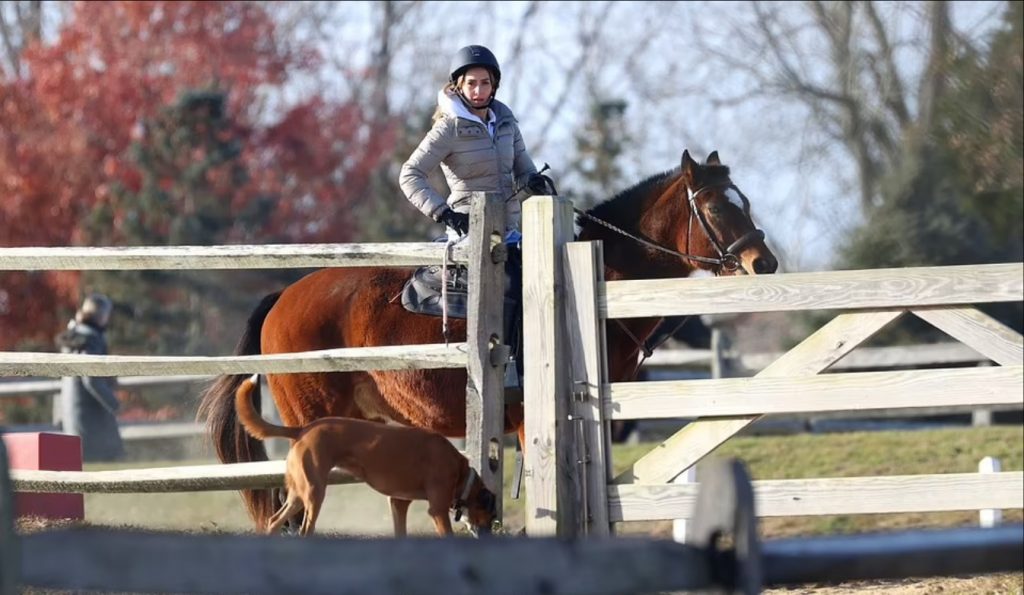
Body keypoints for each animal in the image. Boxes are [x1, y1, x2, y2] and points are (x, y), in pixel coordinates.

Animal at [235, 376, 499, 536]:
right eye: (490, 515)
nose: (489, 537)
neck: (461, 472)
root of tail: (303, 429)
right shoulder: (438, 510)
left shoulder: (398, 502)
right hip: (314, 492)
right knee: (305, 529)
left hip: (298, 494)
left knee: (273, 521)